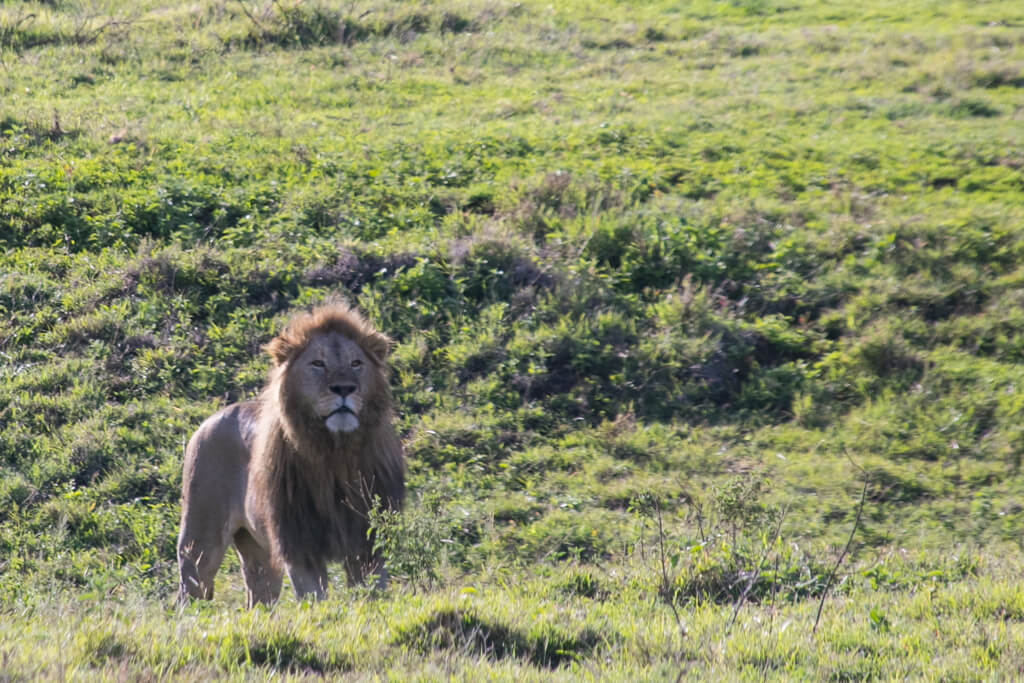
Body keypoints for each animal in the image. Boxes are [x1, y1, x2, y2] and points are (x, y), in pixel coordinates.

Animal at [176, 301, 403, 606]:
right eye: (318, 363)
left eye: (356, 363)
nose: (344, 388)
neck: (335, 454)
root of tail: (209, 420)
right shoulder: (298, 543)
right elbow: (314, 599)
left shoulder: (367, 542)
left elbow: (371, 594)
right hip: (199, 541)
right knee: (189, 591)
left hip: (258, 553)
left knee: (258, 597)